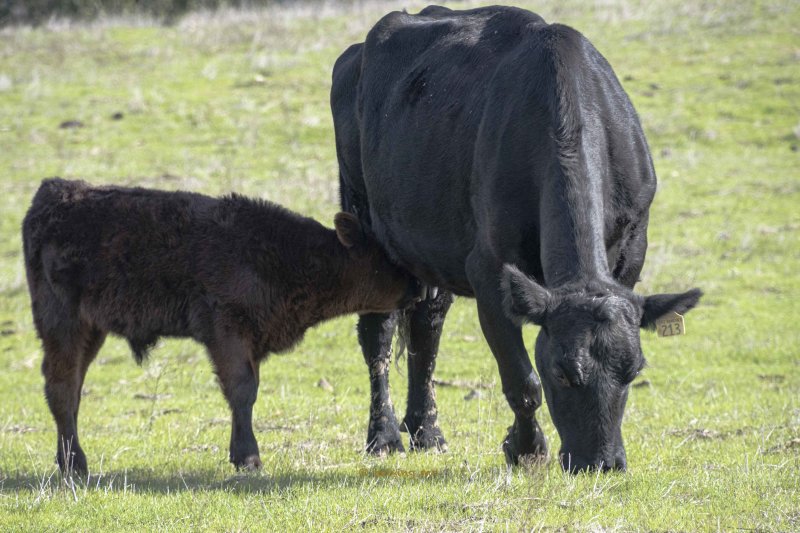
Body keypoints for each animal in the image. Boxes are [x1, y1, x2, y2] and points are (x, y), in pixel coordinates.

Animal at [21, 178, 418, 474]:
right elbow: (242, 390)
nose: (419, 286)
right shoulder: (227, 330)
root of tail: (54, 191)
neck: (285, 257)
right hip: (62, 323)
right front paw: (248, 457)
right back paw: (75, 464)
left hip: (91, 329)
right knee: (61, 388)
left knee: (72, 390)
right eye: (384, 257)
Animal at [332, 4, 700, 470]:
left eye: (633, 370)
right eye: (562, 371)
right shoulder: (488, 268)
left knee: (427, 327)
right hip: (363, 220)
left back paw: (427, 432)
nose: (601, 463)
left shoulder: (632, 252)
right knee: (377, 332)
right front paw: (526, 449)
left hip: (433, 245)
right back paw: (383, 437)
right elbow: (522, 380)